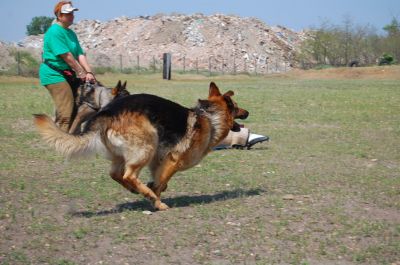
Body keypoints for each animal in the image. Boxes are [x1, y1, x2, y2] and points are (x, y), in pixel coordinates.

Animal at [33, 81, 247, 209]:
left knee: (116, 174)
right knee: (129, 174)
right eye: (237, 107)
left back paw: (136, 189)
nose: (248, 113)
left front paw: (153, 189)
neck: (210, 118)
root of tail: (107, 112)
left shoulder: (159, 160)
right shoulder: (173, 160)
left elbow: (160, 179)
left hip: (125, 154)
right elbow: (161, 181)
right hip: (148, 143)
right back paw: (152, 198)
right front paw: (155, 197)